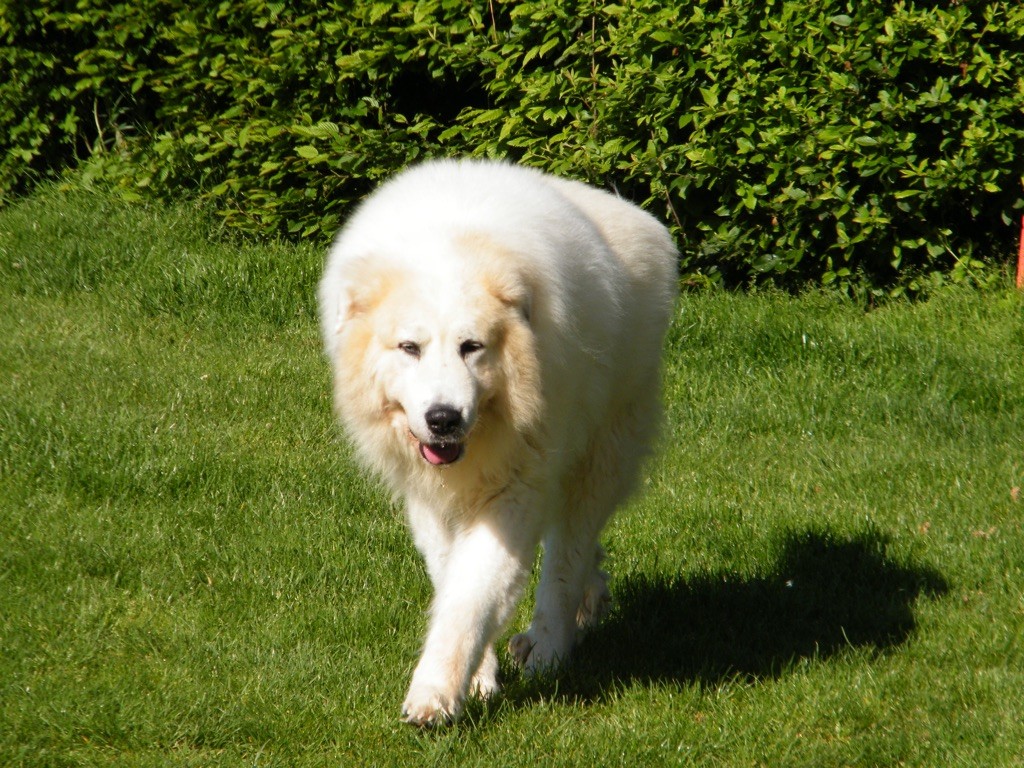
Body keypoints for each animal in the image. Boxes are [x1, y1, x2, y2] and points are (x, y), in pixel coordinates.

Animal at [315, 157, 675, 729]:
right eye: (409, 348)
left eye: (472, 347)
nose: (443, 419)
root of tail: (637, 219)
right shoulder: (430, 499)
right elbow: (453, 581)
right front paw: (479, 677)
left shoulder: (516, 490)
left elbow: (472, 594)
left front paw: (435, 692)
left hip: (599, 458)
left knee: (566, 558)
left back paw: (549, 649)